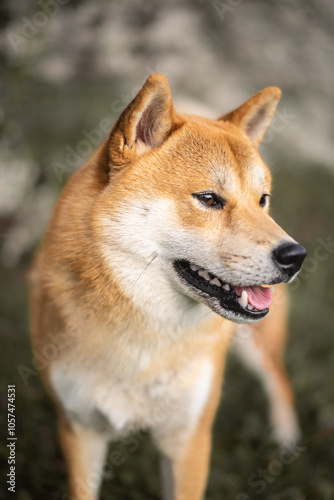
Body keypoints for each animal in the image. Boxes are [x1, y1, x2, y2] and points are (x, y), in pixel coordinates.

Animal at [30, 75, 306, 500]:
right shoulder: (80, 430)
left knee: (278, 376)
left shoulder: (189, 439)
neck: (148, 337)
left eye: (262, 200)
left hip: (258, 344)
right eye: (209, 199)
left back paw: (286, 435)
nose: (296, 255)